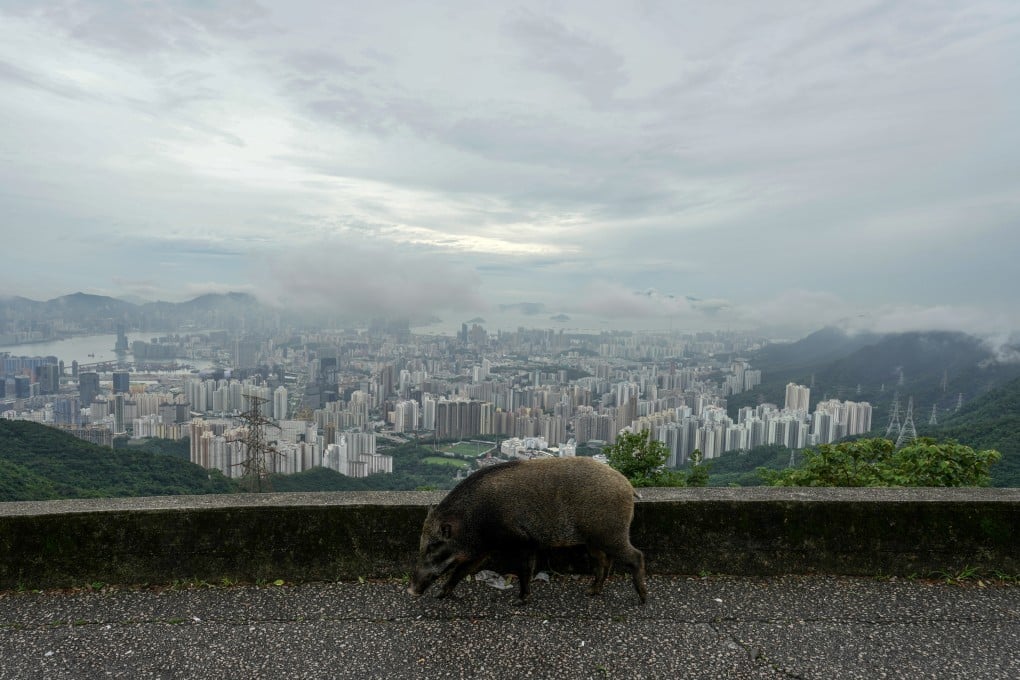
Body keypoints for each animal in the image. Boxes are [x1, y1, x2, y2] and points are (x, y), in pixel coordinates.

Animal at [407, 456, 647, 604]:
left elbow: (523, 569)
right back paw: (591, 592)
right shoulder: (484, 549)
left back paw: (642, 599)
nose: (410, 590)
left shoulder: (522, 541)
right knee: (604, 561)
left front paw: (520, 600)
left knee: (636, 555)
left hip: (610, 534)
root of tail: (628, 486)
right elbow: (462, 570)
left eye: (433, 546)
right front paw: (441, 595)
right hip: (593, 540)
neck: (473, 520)